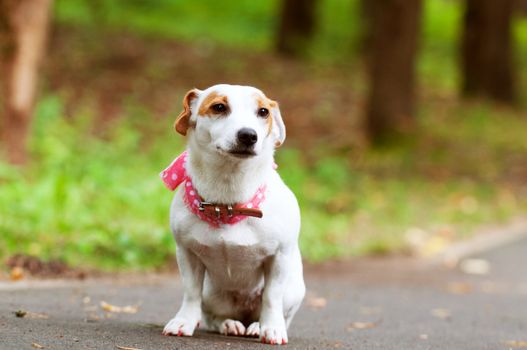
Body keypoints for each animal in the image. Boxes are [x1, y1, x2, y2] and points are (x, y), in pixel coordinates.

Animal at [160, 82, 306, 344]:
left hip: (294, 289)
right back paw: (230, 324)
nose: (248, 134)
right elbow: (191, 292)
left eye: (263, 112)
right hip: (212, 294)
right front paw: (184, 321)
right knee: (213, 316)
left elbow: (272, 297)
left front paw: (271, 328)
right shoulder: (187, 253)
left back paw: (258, 326)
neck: (228, 200)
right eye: (219, 107)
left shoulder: (279, 257)